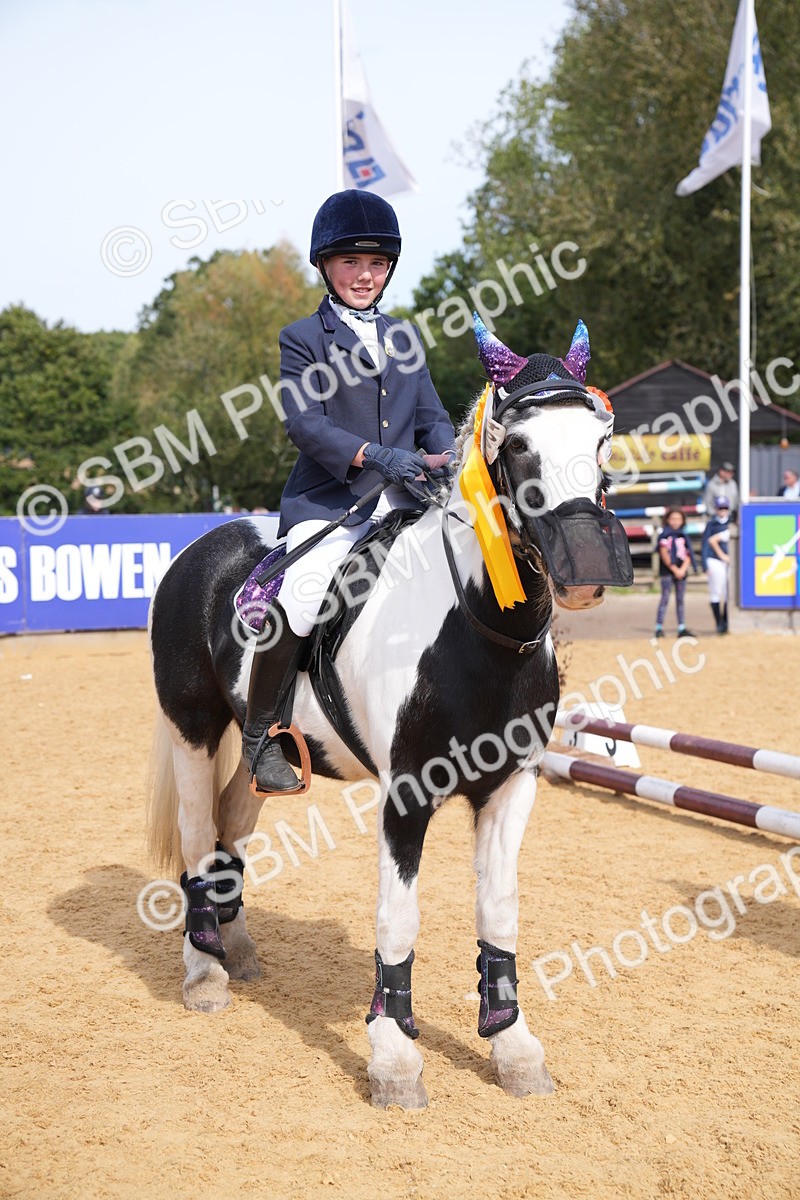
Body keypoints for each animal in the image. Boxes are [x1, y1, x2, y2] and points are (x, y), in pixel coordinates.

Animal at [146, 316, 632, 1109]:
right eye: (518, 445)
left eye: (600, 441)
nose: (587, 571)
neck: (475, 629)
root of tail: (205, 545)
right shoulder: (407, 795)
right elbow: (398, 918)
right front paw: (395, 1059)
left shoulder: (512, 789)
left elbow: (499, 908)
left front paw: (513, 1047)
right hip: (192, 727)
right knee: (193, 836)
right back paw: (205, 971)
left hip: (258, 749)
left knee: (230, 823)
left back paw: (236, 949)